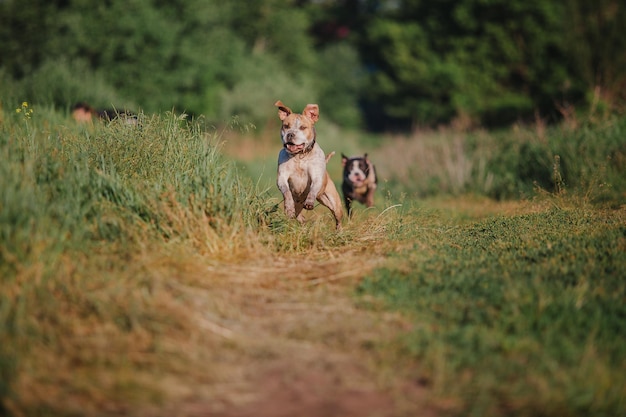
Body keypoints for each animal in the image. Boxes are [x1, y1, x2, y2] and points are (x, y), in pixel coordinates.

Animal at [272, 101, 342, 231]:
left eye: (303, 127)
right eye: (286, 126)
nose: (290, 134)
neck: (299, 156)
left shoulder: (316, 177)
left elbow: (313, 189)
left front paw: (309, 201)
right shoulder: (282, 177)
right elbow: (286, 191)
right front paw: (289, 205)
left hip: (334, 202)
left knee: (338, 217)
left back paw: (339, 231)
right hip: (299, 207)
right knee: (299, 216)